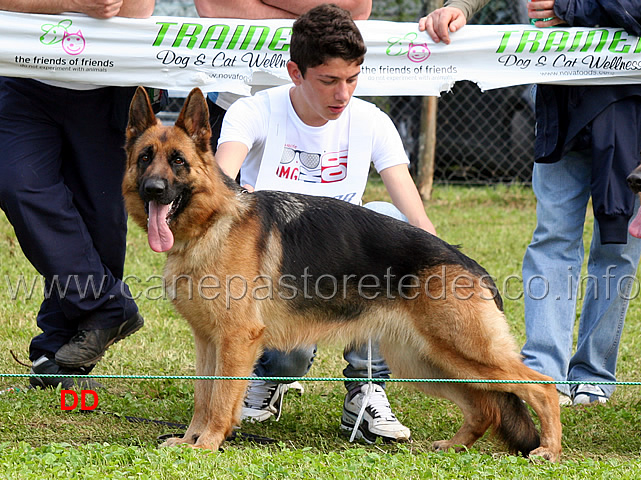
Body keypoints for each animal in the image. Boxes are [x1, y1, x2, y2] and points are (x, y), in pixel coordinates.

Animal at [121, 87, 560, 462]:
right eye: (145, 158)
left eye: (178, 161)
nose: (153, 189)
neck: (211, 223)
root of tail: (473, 268)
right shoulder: (208, 341)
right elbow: (203, 395)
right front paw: (189, 440)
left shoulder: (235, 340)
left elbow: (219, 399)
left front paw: (208, 444)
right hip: (429, 362)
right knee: (485, 408)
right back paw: (454, 446)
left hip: (464, 354)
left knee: (542, 387)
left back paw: (549, 450)